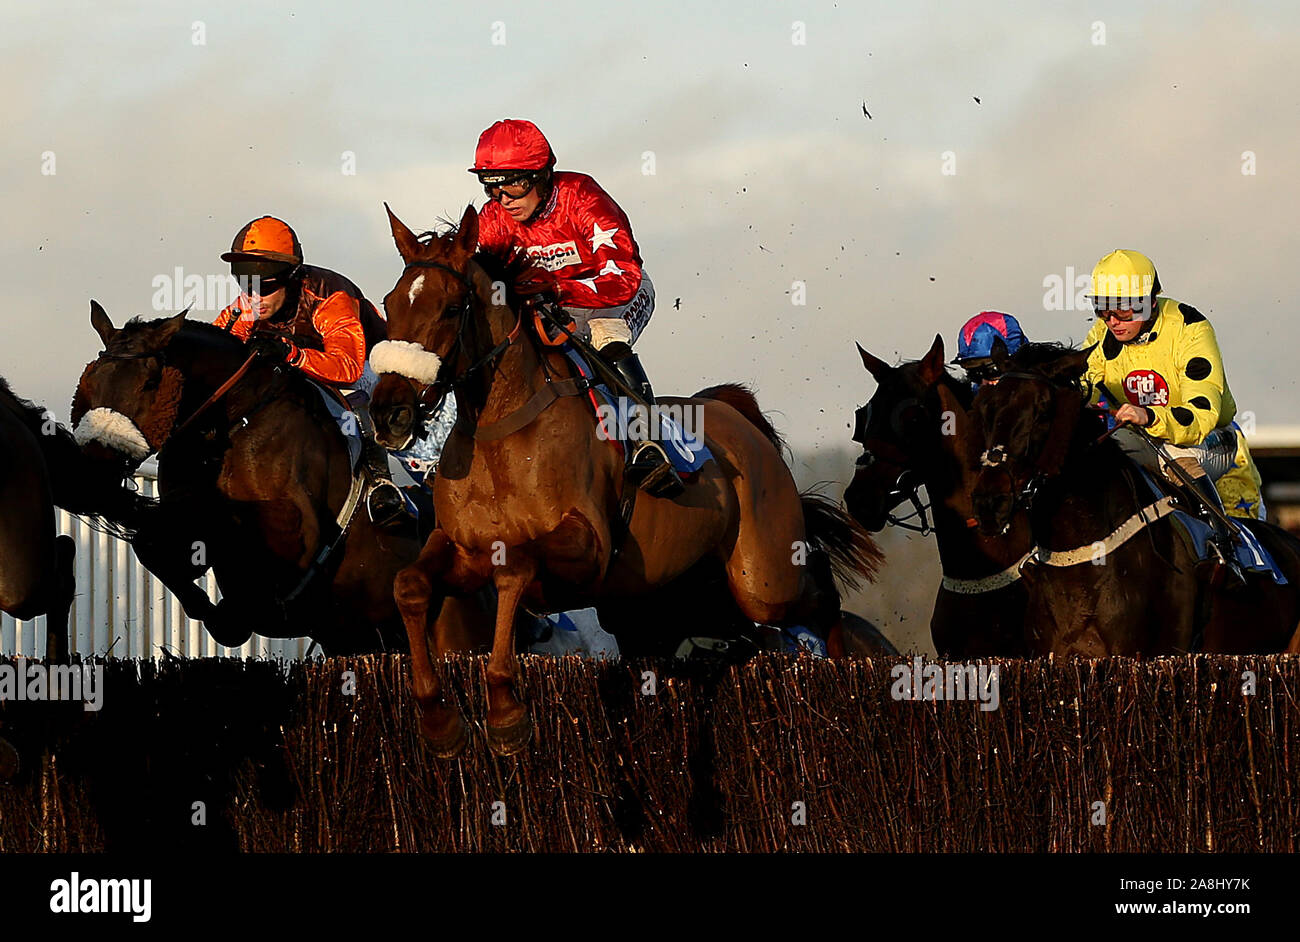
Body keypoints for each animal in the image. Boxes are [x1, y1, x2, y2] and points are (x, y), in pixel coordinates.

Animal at [371, 205, 889, 758]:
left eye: (450, 308)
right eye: (388, 303)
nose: (388, 413)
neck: (502, 434)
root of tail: (737, 414)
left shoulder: (588, 546)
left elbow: (515, 566)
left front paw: (506, 713)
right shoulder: (462, 551)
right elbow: (409, 585)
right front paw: (438, 721)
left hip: (763, 577)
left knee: (820, 594)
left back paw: (846, 668)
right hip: (691, 584)